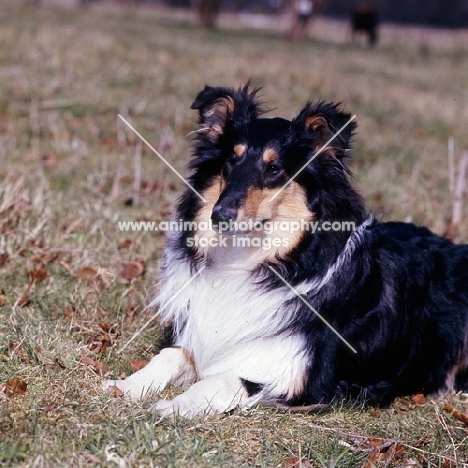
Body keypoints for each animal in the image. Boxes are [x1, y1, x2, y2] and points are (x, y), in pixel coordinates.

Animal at [105, 85, 468, 420]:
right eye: (231, 160)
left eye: (274, 169)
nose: (219, 216)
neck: (271, 261)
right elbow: (169, 355)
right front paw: (125, 386)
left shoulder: (302, 381)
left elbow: (220, 380)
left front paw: (173, 406)